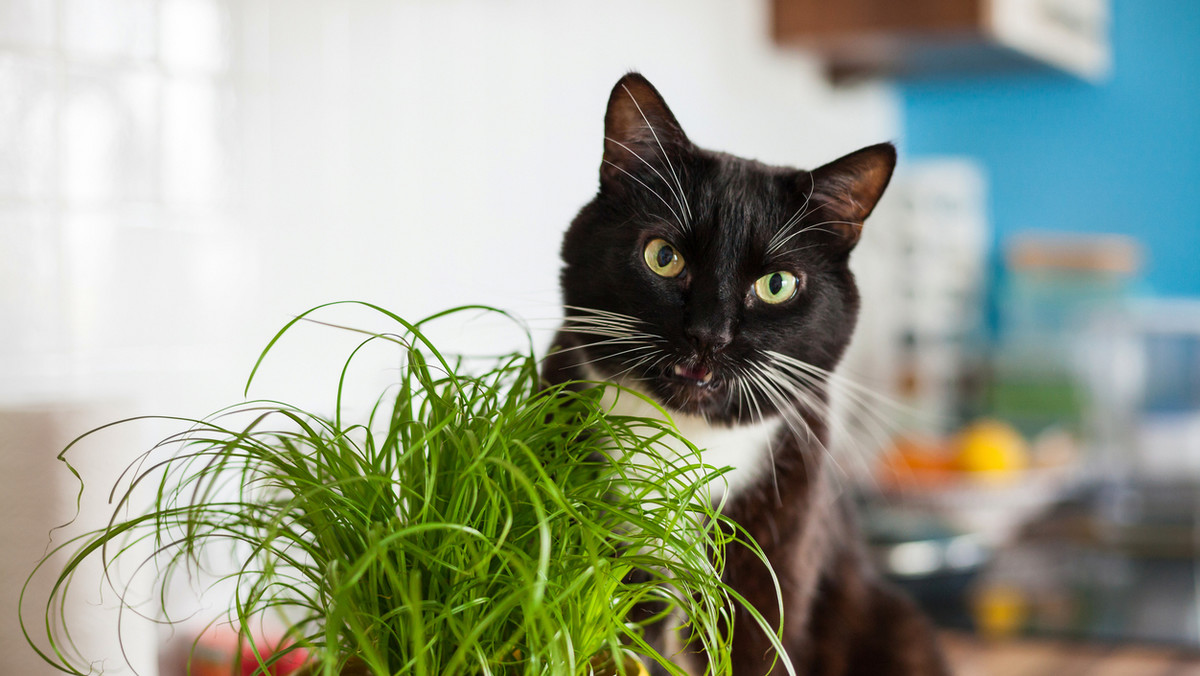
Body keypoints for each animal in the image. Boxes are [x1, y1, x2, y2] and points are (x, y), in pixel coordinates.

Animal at [542, 74, 945, 676]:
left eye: (777, 285)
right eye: (663, 256)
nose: (709, 334)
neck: (684, 442)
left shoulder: (778, 560)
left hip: (899, 626)